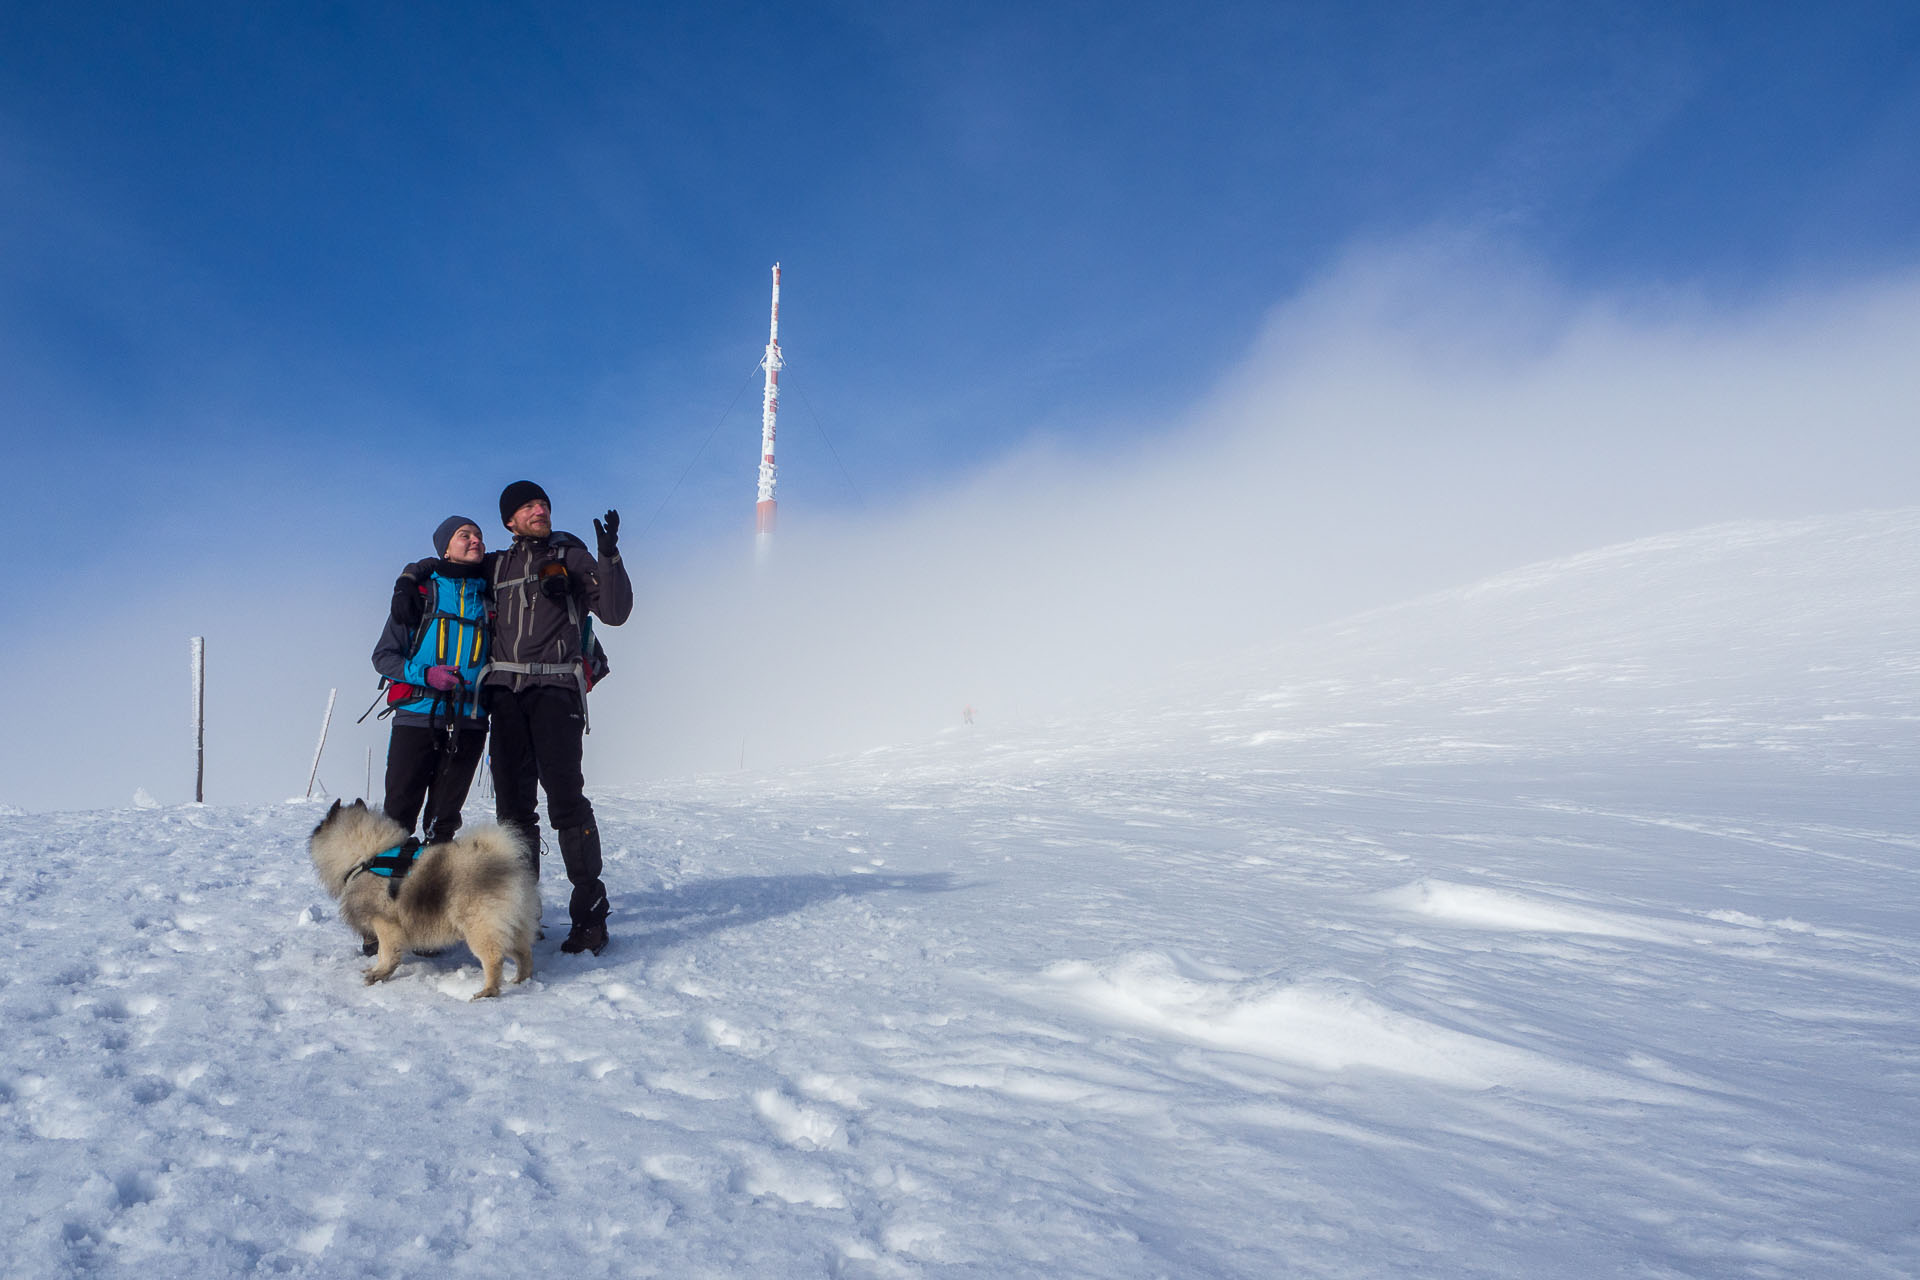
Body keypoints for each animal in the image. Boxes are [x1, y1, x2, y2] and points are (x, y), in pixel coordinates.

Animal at [307, 802, 537, 997]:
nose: (313, 832)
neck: (368, 857)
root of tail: (506, 863)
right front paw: (376, 970)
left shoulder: (385, 924)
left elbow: (386, 952)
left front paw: (379, 974)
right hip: (513, 926)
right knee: (524, 954)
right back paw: (520, 980)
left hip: (480, 928)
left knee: (494, 959)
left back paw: (487, 991)